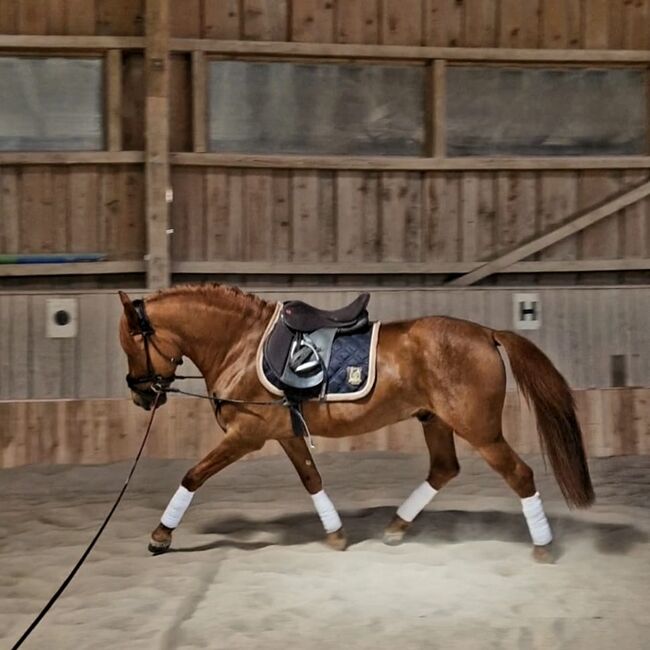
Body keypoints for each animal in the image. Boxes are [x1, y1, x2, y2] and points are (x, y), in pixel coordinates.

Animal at [117, 284, 592, 560]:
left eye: (130, 344)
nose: (141, 395)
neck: (241, 344)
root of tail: (488, 333)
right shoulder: (284, 434)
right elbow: (312, 480)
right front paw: (336, 534)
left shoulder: (245, 435)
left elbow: (192, 476)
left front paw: (161, 536)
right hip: (434, 420)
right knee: (444, 468)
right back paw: (396, 527)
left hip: (480, 430)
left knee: (519, 474)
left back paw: (543, 547)